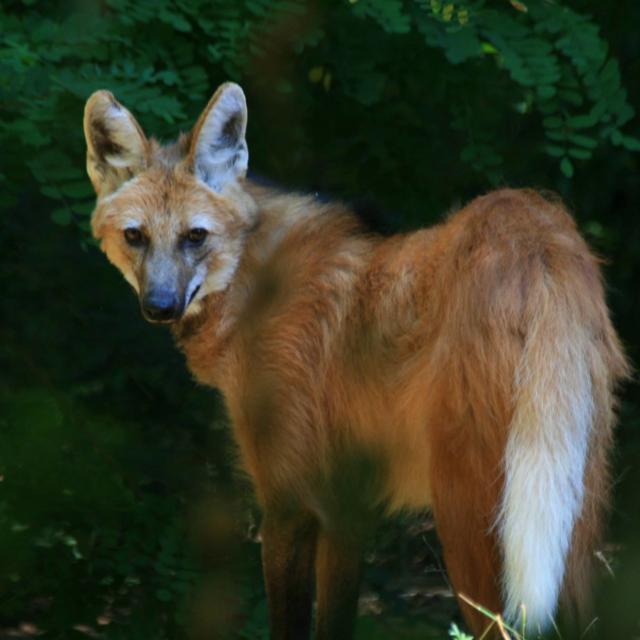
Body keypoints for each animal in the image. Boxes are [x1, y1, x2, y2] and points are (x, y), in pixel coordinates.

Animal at [82, 82, 628, 636]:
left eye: (195, 236)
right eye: (135, 236)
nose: (160, 306)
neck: (254, 283)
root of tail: (538, 233)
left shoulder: (287, 503)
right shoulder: (346, 508)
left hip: (475, 513)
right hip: (564, 501)